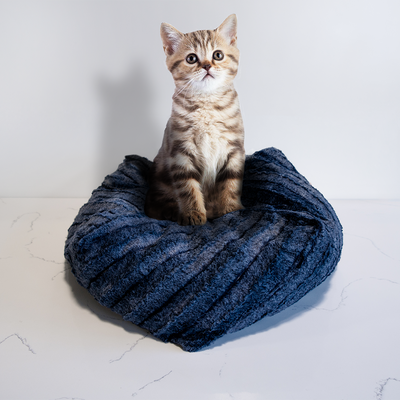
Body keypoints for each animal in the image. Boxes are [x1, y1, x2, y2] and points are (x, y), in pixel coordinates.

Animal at [144, 14, 244, 225]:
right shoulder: (180, 152)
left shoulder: (235, 150)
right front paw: (193, 214)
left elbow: (231, 184)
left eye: (218, 55)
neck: (207, 104)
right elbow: (188, 188)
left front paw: (231, 211)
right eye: (191, 58)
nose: (206, 65)